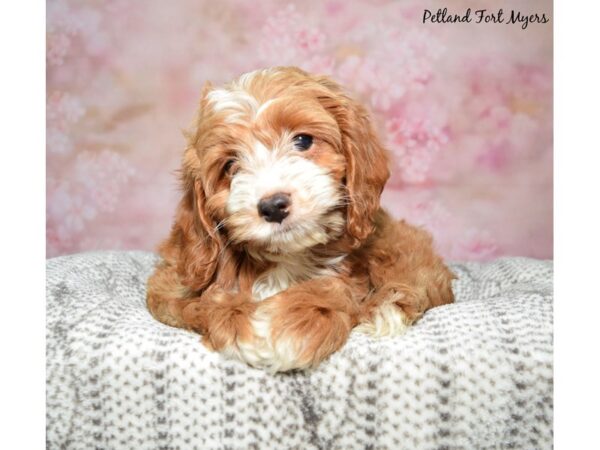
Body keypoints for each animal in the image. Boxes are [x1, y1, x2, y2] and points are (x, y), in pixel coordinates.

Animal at [146, 65, 454, 370]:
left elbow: (335, 287)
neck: (288, 256)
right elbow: (195, 302)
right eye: (230, 166)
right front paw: (239, 316)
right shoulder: (172, 281)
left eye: (303, 141)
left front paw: (294, 321)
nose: (273, 206)